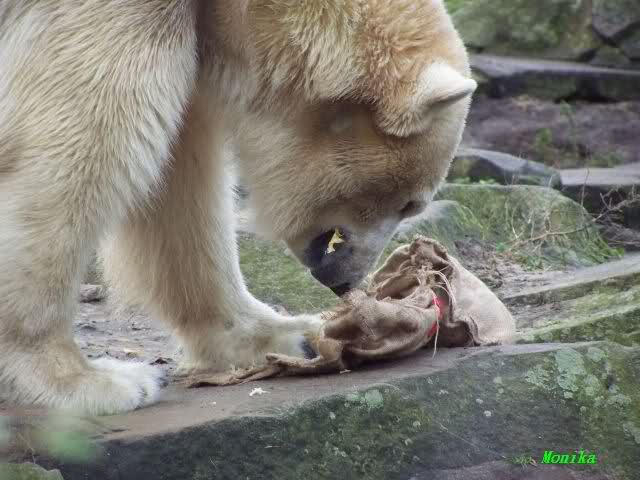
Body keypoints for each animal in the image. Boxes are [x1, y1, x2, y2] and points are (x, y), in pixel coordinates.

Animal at [0, 0, 476, 415]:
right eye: (410, 203)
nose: (346, 281)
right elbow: (87, 139)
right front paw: (87, 381)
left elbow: (182, 181)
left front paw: (292, 334)